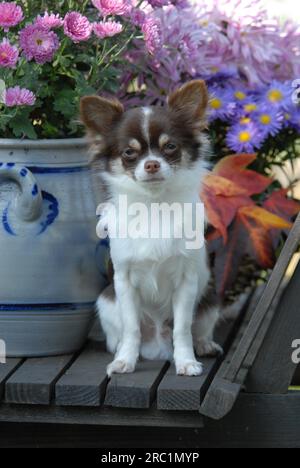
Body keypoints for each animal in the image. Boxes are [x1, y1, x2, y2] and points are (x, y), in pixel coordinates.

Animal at [81, 80, 221, 376]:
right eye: (129, 152)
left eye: (170, 147)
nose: (152, 163)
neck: (155, 205)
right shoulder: (123, 282)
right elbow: (131, 327)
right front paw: (125, 360)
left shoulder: (187, 282)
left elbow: (182, 329)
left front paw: (186, 362)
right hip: (106, 302)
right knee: (121, 333)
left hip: (211, 301)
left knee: (198, 329)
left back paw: (204, 345)